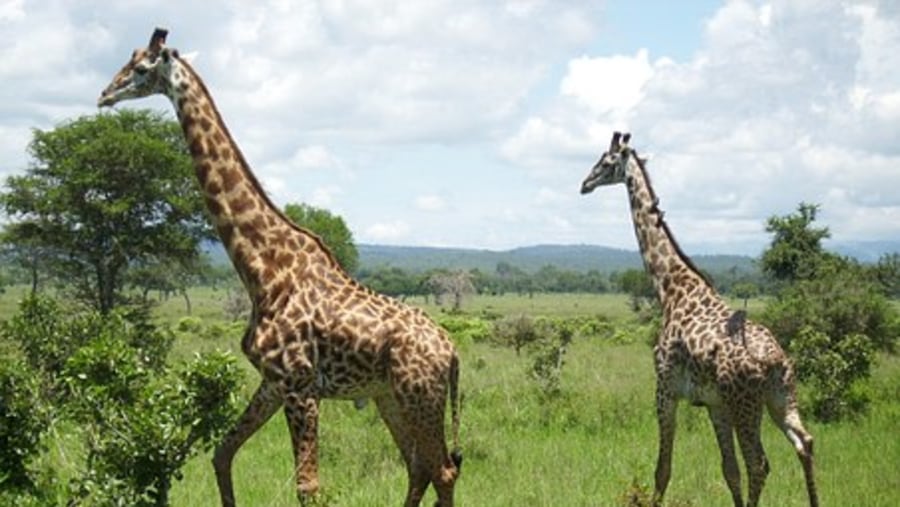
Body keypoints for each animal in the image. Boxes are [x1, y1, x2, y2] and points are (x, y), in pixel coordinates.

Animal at [99, 28, 464, 507]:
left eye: (141, 69)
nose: (105, 95)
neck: (263, 271)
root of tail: (452, 351)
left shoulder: (300, 385)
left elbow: (308, 487)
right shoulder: (273, 382)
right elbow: (222, 453)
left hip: (419, 396)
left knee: (443, 470)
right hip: (390, 396)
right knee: (418, 466)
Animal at [580, 133, 820, 506]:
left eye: (605, 162)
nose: (584, 184)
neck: (670, 288)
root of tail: (776, 360)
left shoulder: (665, 388)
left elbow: (663, 469)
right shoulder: (713, 403)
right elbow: (728, 470)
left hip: (746, 404)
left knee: (760, 463)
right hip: (781, 398)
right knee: (804, 443)